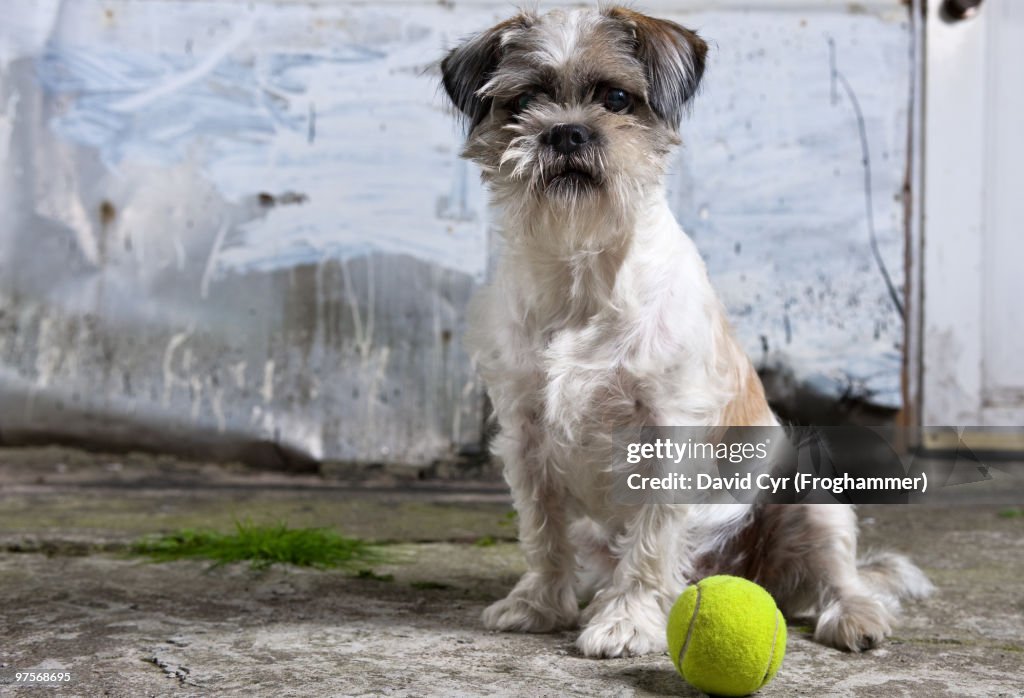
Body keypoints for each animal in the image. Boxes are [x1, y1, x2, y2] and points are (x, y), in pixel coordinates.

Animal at [436, 6, 933, 659]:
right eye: (523, 102)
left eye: (617, 99)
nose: (566, 132)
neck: (582, 269)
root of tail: (748, 574)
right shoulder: (526, 436)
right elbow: (543, 533)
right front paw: (539, 604)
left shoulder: (667, 434)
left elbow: (649, 543)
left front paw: (627, 621)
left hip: (811, 498)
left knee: (839, 576)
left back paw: (854, 616)